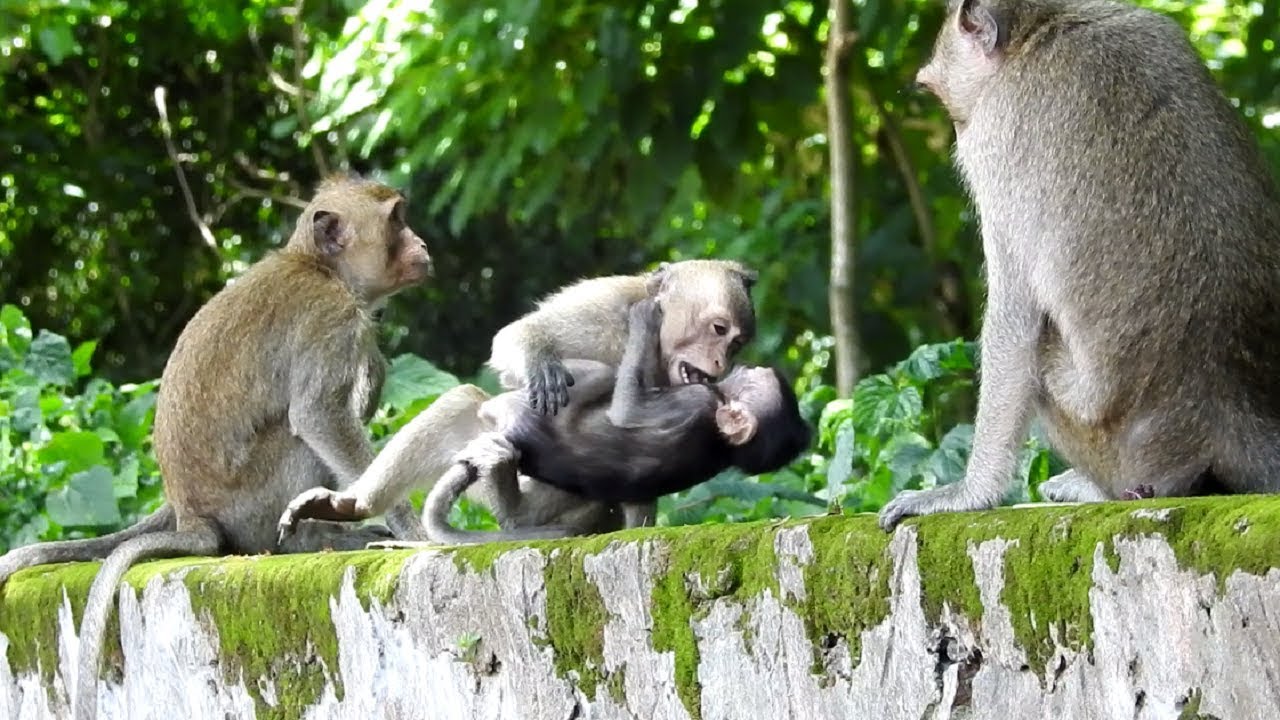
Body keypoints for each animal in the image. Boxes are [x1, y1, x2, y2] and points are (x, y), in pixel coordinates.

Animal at [0, 175, 432, 720]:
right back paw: (306, 538)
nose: (422, 244)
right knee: (305, 429)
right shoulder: (331, 319)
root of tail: (190, 513)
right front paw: (416, 533)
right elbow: (319, 416)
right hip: (253, 502)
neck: (318, 267)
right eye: (397, 220)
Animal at [274, 258, 763, 546]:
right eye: (719, 329)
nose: (722, 361)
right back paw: (355, 505)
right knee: (464, 400)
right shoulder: (611, 310)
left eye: (737, 341)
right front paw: (538, 360)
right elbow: (520, 339)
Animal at [878, 0, 1280, 530]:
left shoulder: (993, 142)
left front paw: (968, 494)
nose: (955, 127)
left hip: (1106, 436)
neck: (1046, 25)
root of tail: (1228, 413)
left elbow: (1013, 321)